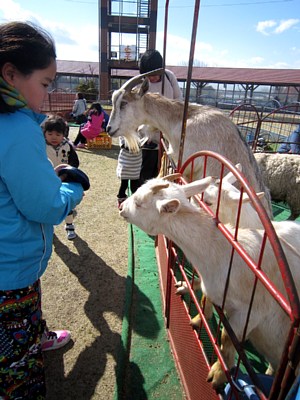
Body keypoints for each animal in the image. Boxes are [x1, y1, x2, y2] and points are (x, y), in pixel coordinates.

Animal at [119, 177, 300, 390]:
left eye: (139, 203)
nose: (121, 207)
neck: (224, 253)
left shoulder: (252, 311)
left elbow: (227, 337)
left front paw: (219, 373)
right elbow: (206, 301)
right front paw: (198, 320)